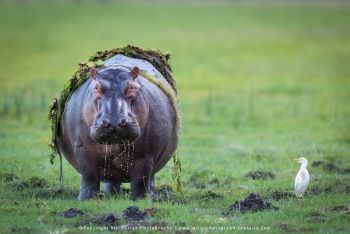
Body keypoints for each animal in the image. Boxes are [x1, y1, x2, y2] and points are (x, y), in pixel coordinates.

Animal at [57, 54, 179, 199]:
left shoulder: (146, 155)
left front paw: (140, 200)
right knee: (111, 181)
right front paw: (85, 199)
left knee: (149, 179)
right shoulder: (83, 150)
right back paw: (112, 196)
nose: (114, 121)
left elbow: (140, 180)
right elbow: (89, 177)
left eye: (132, 87)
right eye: (96, 87)